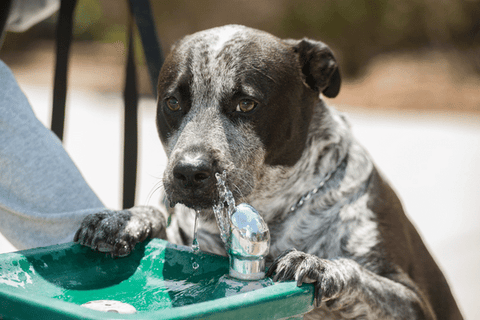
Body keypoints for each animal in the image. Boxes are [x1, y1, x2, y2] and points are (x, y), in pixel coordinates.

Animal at [74, 25, 462, 320]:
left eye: (247, 104)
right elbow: (158, 218)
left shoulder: (412, 301)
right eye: (173, 103)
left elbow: (357, 274)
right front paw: (124, 219)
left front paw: (320, 264)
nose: (189, 172)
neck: (273, 208)